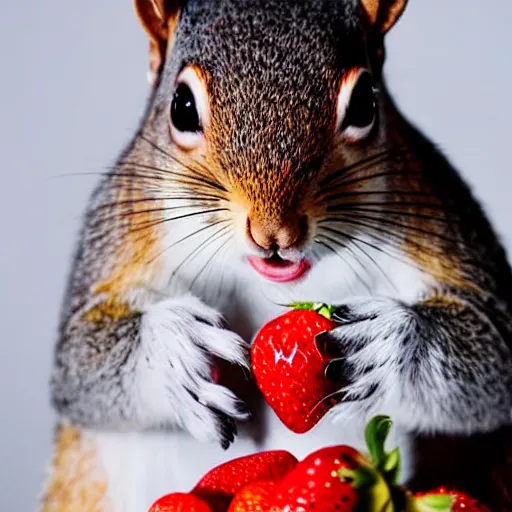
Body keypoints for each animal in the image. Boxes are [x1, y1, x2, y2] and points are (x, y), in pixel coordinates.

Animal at [41, 0, 512, 510]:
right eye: (181, 106)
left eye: (366, 103)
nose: (274, 232)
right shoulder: (120, 234)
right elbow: (81, 369)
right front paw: (175, 352)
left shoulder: (437, 211)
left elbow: (493, 364)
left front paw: (389, 346)